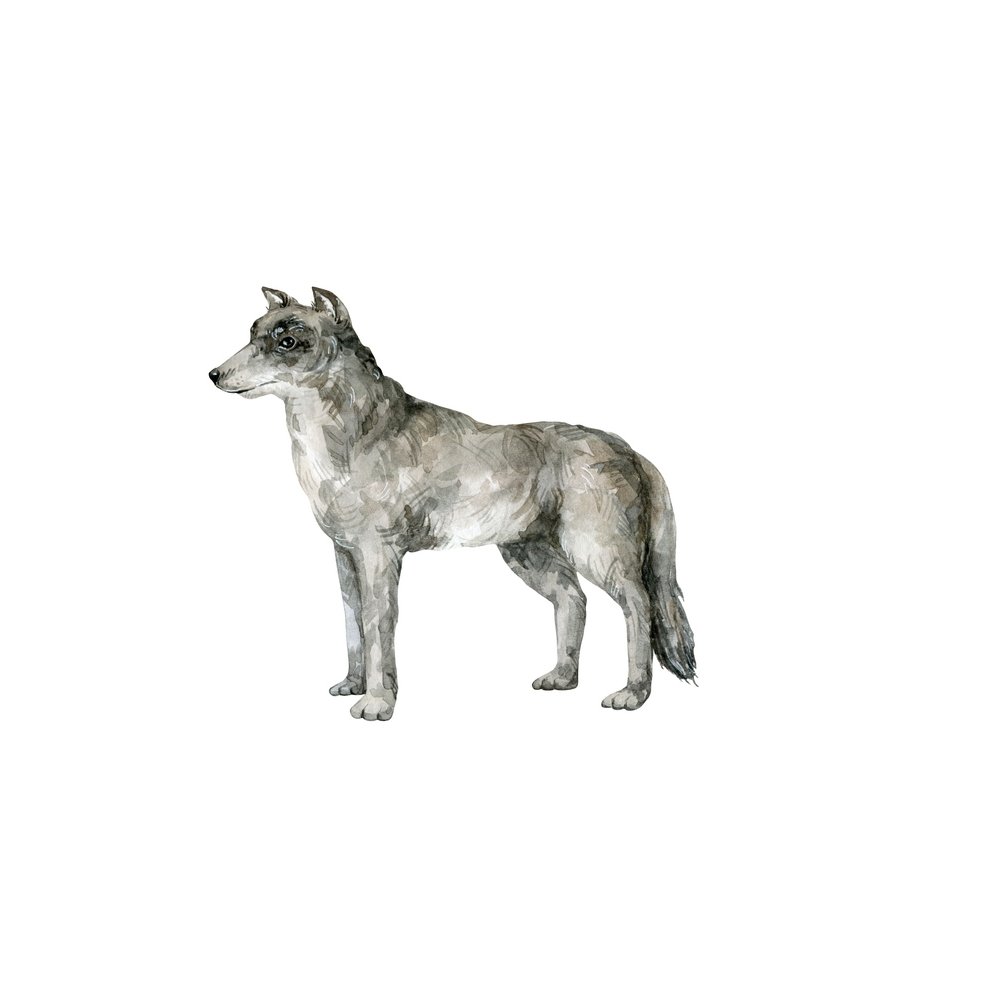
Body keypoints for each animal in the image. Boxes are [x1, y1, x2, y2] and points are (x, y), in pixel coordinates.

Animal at [209, 287, 696, 721]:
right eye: (253, 334)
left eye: (287, 342)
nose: (214, 374)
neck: (356, 433)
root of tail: (628, 449)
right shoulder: (345, 556)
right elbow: (353, 624)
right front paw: (353, 683)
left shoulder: (379, 555)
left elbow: (377, 628)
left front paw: (377, 701)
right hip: (528, 554)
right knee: (572, 600)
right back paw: (562, 677)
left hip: (597, 552)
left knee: (640, 607)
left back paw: (633, 693)